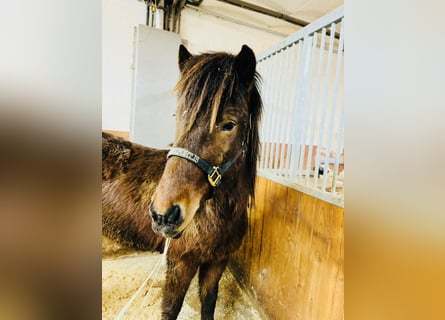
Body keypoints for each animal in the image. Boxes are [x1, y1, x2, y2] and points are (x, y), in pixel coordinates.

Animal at [102, 45, 262, 320]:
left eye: (229, 125)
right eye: (178, 116)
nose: (163, 214)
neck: (216, 214)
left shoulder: (217, 262)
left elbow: (209, 303)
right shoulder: (180, 263)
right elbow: (171, 309)